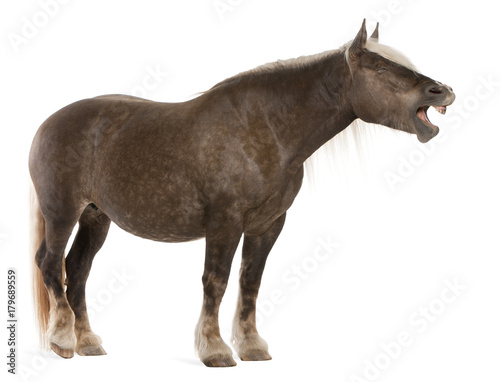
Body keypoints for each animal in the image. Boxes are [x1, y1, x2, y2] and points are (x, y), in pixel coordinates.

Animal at [29, 20, 456, 368]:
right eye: (381, 68)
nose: (443, 91)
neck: (265, 129)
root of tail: (47, 124)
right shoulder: (225, 223)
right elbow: (215, 281)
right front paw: (215, 350)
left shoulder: (267, 225)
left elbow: (250, 281)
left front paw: (251, 347)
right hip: (62, 213)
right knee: (51, 264)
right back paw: (63, 341)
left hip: (96, 217)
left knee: (77, 270)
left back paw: (88, 342)